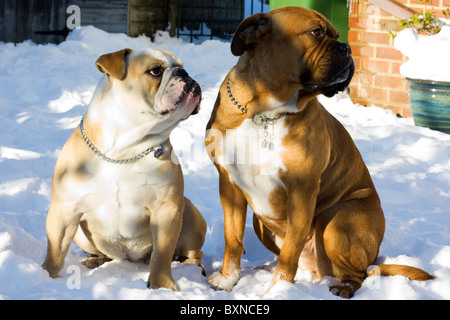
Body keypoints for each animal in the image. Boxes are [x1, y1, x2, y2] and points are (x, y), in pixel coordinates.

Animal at [206, 6, 434, 298]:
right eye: (316, 32)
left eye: (337, 35)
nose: (347, 47)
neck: (266, 112)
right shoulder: (230, 186)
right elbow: (233, 239)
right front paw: (227, 279)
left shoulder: (302, 191)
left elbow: (288, 254)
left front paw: (279, 290)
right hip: (262, 222)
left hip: (335, 220)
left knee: (359, 274)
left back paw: (341, 287)